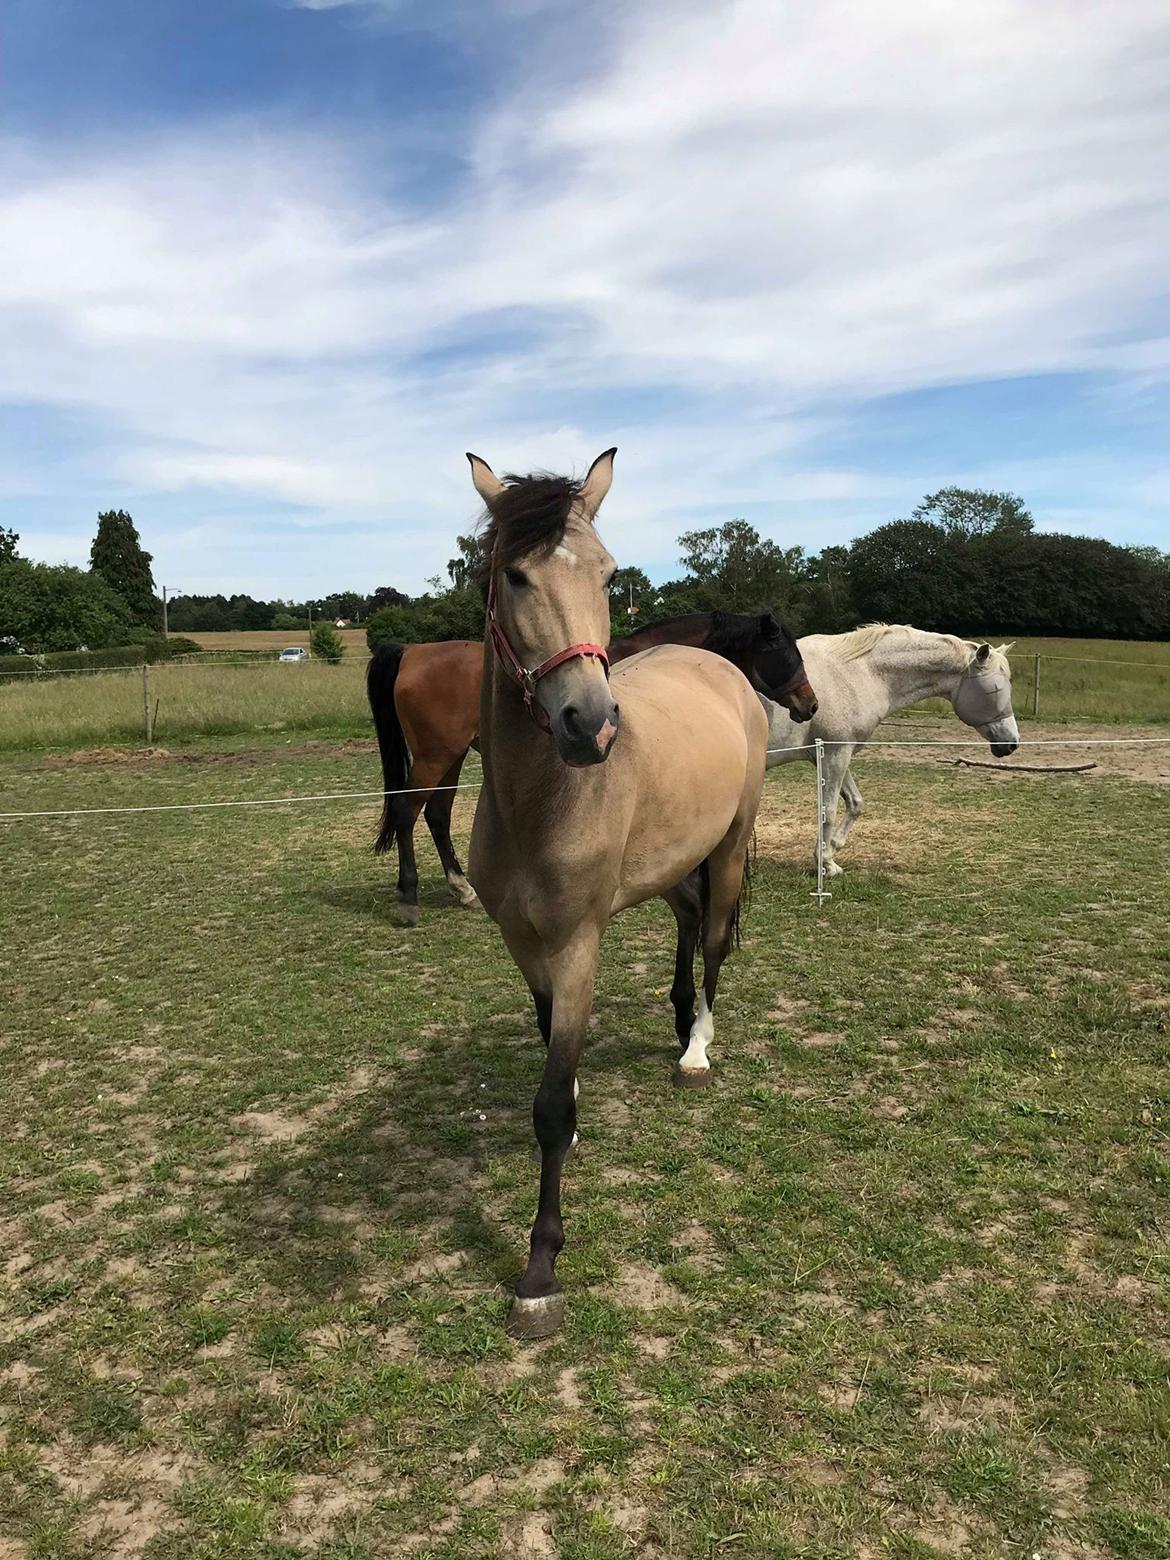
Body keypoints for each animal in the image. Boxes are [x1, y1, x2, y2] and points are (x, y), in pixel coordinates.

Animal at [366, 599, 817, 917]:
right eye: (786, 654)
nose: (810, 704)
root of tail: (412, 651)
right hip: (434, 757)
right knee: (406, 812)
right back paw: (409, 895)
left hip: (451, 756)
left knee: (437, 816)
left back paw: (462, 889)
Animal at [467, 452, 770, 1341]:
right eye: (515, 575)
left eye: (607, 575)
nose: (591, 725)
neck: (539, 804)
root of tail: (721, 668)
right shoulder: (524, 943)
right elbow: (550, 1056)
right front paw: (574, 1101)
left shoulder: (579, 943)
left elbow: (546, 1109)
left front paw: (539, 1270)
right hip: (671, 869)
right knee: (691, 923)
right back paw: (677, 1021)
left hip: (729, 848)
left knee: (716, 943)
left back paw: (696, 1048)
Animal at [755, 620, 1023, 873]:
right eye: (995, 690)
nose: (1011, 743)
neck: (855, 674)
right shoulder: (835, 753)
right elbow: (828, 811)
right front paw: (826, 864)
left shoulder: (835, 754)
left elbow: (855, 803)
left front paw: (832, 849)